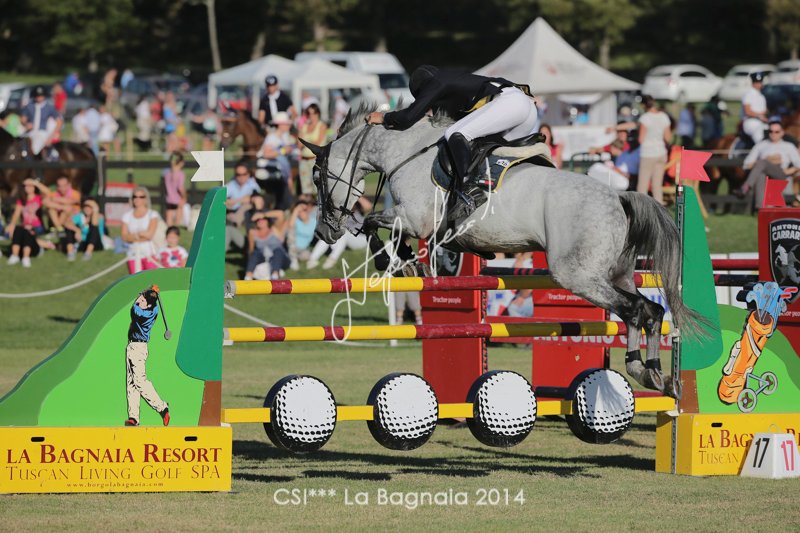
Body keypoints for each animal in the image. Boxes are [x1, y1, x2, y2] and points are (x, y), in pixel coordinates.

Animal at [302, 104, 709, 398]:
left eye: (318, 177)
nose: (324, 231)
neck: (406, 152)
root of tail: (620, 197)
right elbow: (380, 226)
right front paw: (407, 261)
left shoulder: (416, 219)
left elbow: (373, 222)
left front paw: (394, 260)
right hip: (617, 274)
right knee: (648, 311)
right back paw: (653, 374)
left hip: (579, 275)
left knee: (637, 309)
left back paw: (648, 371)